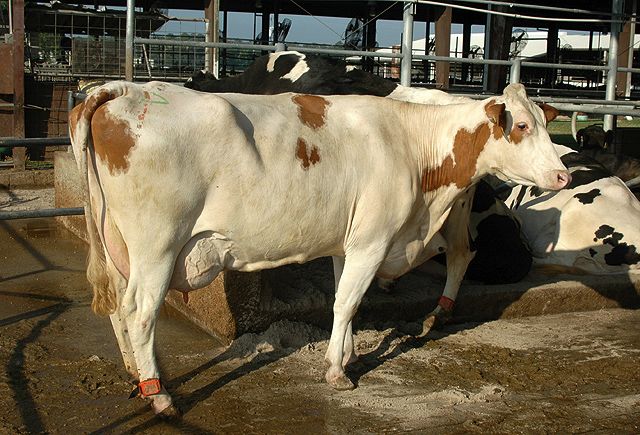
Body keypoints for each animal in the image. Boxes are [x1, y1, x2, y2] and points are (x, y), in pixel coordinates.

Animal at [71, 80, 568, 418]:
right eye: (523, 125)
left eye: (546, 124)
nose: (563, 176)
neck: (412, 144)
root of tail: (124, 89)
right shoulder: (372, 240)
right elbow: (348, 303)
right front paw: (337, 372)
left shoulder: (348, 244)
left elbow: (344, 302)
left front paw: (347, 354)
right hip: (157, 245)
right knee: (139, 311)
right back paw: (159, 394)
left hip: (118, 244)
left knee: (118, 308)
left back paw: (137, 376)